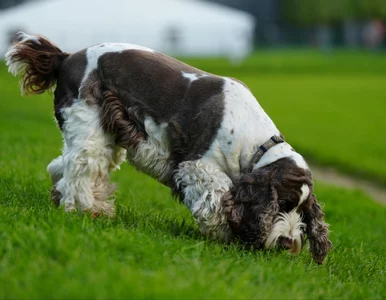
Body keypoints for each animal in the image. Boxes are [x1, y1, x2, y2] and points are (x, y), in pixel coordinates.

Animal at [4, 31, 332, 264]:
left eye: (304, 213)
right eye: (283, 204)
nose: (288, 242)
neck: (256, 145)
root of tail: (66, 57)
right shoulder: (197, 165)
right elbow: (217, 200)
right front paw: (225, 235)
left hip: (103, 133)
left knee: (61, 166)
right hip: (89, 126)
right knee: (78, 169)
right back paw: (85, 211)